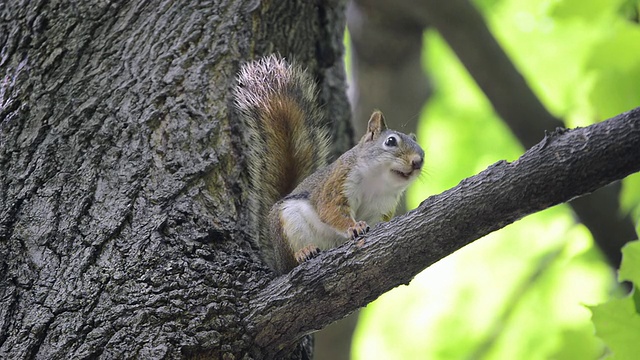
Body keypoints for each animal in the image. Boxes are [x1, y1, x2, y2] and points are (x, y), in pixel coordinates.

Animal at [236, 54, 424, 272]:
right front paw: (354, 226)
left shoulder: (382, 205)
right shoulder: (338, 183)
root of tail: (276, 260)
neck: (376, 182)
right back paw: (304, 252)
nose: (417, 162)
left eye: (423, 154)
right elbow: (331, 210)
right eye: (391, 141)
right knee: (292, 261)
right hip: (288, 222)